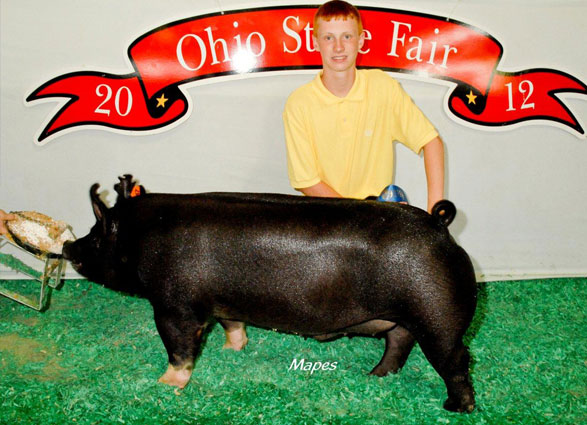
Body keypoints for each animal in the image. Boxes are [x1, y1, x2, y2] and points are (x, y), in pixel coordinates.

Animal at [63, 175, 478, 410]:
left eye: (96, 237)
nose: (68, 246)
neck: (139, 237)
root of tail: (441, 228)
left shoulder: (173, 305)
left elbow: (179, 348)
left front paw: (164, 386)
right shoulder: (224, 302)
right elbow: (232, 324)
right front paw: (233, 350)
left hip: (438, 316)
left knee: (455, 360)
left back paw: (458, 408)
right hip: (405, 320)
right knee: (399, 345)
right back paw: (373, 377)